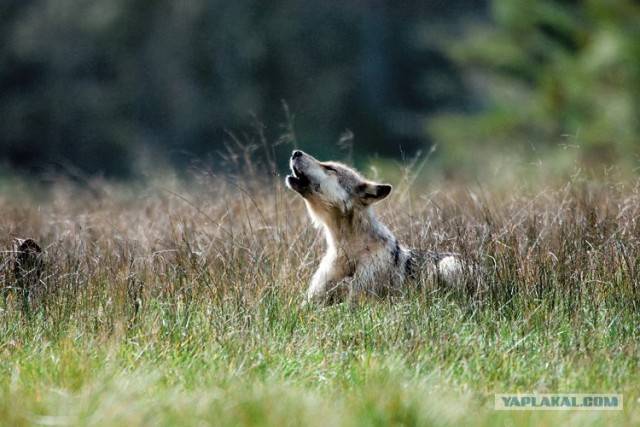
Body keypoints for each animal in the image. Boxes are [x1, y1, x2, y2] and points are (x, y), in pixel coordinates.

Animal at [286, 150, 464, 304]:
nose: (295, 152)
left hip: (448, 264)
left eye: (330, 168)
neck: (348, 253)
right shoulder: (311, 301)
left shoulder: (360, 300)